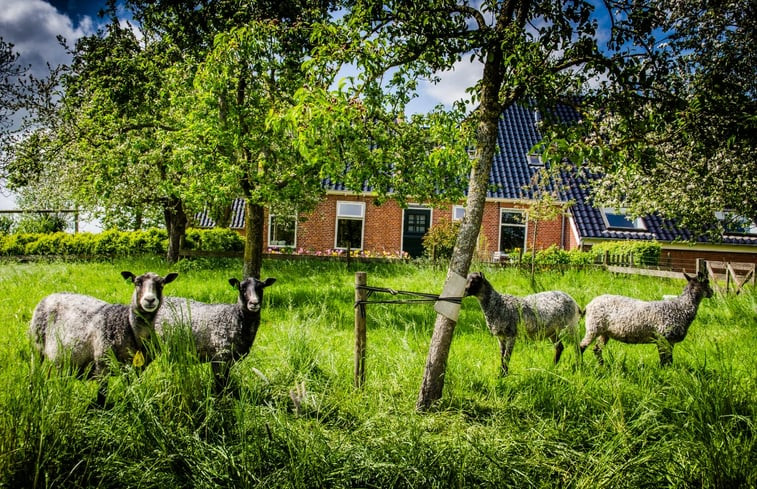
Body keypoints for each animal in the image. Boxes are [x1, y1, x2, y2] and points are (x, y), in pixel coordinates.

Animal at [28, 268, 179, 402]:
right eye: (137, 283)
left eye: (161, 284)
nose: (150, 300)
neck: (128, 326)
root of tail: (49, 296)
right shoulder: (102, 365)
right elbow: (102, 397)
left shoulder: (136, 369)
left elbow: (132, 390)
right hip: (36, 347)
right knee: (35, 372)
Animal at [580, 270, 716, 366]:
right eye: (707, 282)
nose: (712, 292)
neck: (681, 307)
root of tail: (588, 305)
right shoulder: (663, 337)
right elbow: (665, 360)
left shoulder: (669, 341)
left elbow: (668, 360)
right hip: (594, 327)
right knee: (582, 346)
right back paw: (581, 365)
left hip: (604, 332)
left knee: (597, 349)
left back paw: (602, 365)